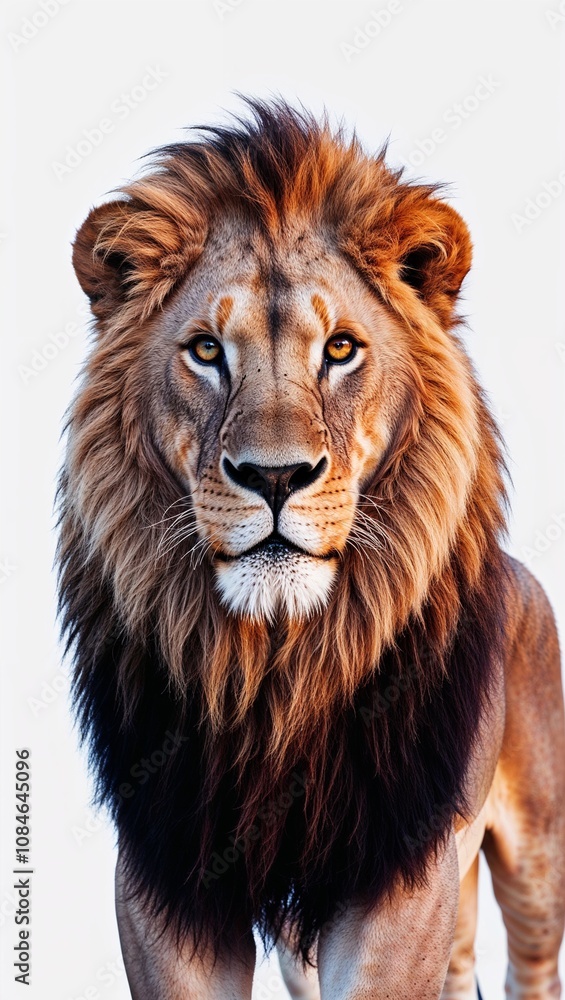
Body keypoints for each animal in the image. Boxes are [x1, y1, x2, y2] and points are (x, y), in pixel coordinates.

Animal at [58, 99, 565, 999]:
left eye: (339, 349)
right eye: (206, 350)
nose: (275, 476)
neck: (278, 665)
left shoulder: (399, 870)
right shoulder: (164, 868)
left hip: (537, 858)